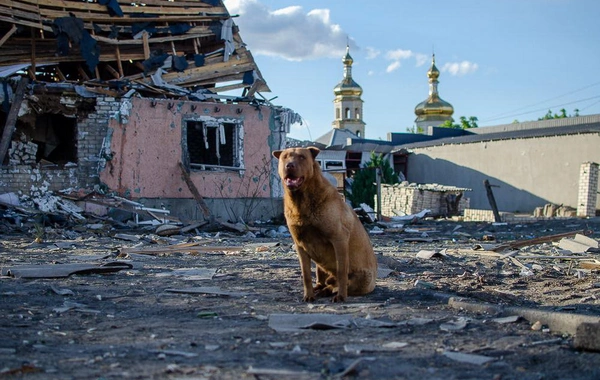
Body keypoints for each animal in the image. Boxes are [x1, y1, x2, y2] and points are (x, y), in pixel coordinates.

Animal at [274, 146, 378, 302]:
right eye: (285, 157)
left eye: (302, 157)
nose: (289, 166)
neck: (301, 201)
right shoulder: (300, 245)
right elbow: (306, 274)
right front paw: (308, 295)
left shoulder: (339, 239)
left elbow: (341, 271)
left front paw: (341, 296)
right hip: (320, 266)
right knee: (323, 279)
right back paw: (320, 288)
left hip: (363, 277)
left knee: (341, 283)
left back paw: (329, 290)